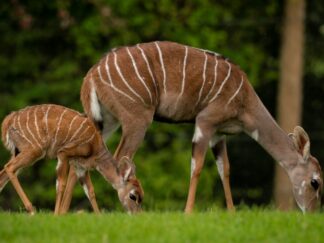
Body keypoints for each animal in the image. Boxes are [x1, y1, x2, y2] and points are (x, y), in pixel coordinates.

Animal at [0, 104, 143, 215]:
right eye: (133, 196)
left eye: (142, 196)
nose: (137, 215)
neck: (95, 149)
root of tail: (8, 121)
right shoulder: (64, 153)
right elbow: (61, 185)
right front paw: (56, 215)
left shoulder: (80, 167)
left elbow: (90, 191)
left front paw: (99, 216)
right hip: (34, 149)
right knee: (9, 167)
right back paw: (32, 210)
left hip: (18, 151)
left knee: (3, 173)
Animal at [76, 40, 322, 213]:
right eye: (315, 182)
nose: (311, 213)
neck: (244, 102)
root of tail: (92, 75)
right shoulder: (205, 121)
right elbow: (197, 166)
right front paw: (187, 212)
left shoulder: (219, 133)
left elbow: (225, 169)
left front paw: (232, 213)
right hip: (137, 119)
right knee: (119, 158)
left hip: (105, 121)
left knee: (81, 161)